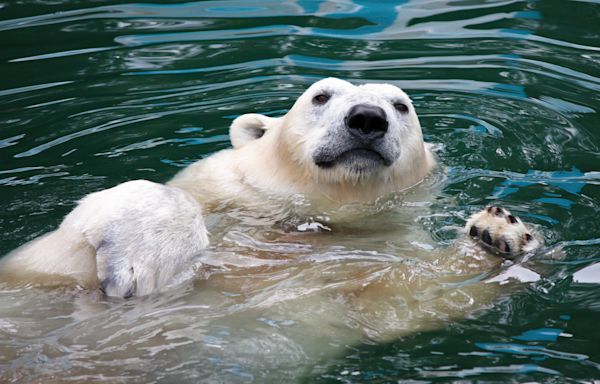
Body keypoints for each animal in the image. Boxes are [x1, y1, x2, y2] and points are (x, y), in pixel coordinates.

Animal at [0, 78, 540, 300]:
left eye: (401, 105)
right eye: (321, 95)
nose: (367, 118)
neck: (311, 217)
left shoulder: (377, 252)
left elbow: (402, 296)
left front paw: (499, 233)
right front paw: (140, 259)